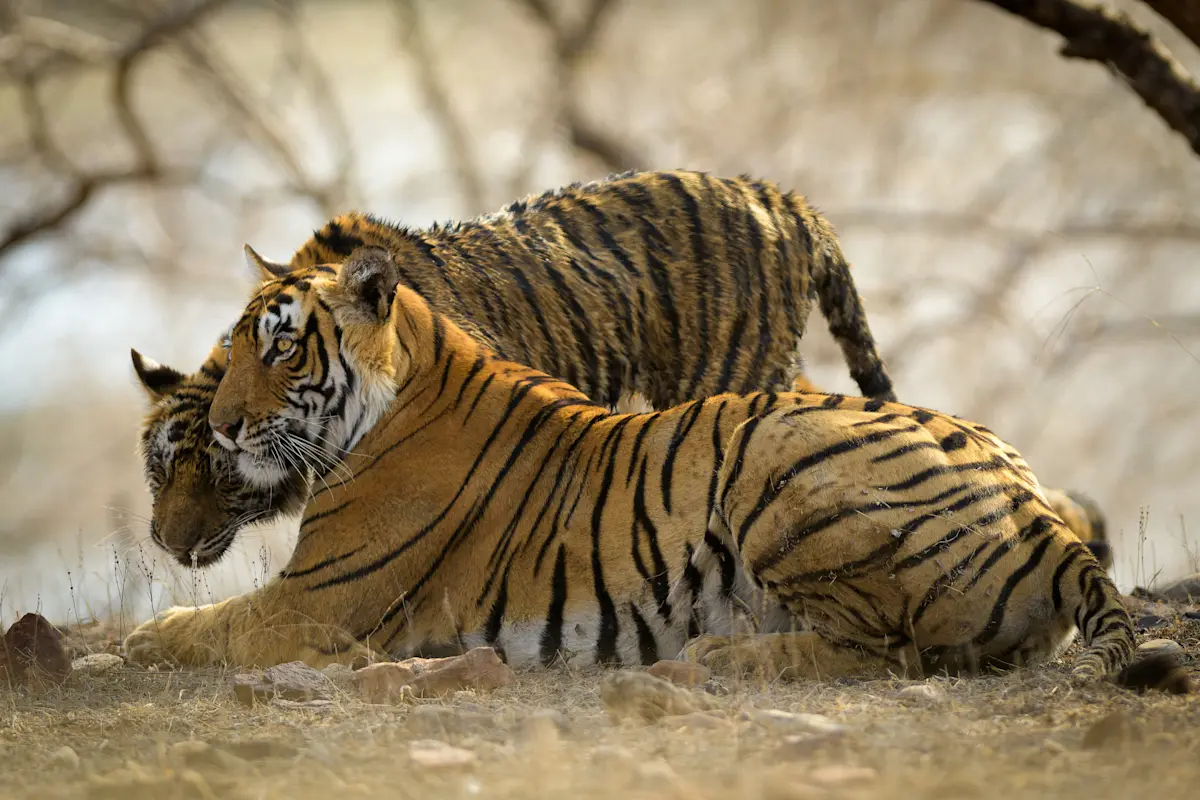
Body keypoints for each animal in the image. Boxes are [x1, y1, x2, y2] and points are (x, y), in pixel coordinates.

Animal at [123, 248, 1186, 693]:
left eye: (282, 345)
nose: (224, 425)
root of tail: (1037, 508)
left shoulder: (310, 605)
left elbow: (190, 630)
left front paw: (122, 646)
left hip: (776, 464)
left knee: (895, 653)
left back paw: (720, 658)